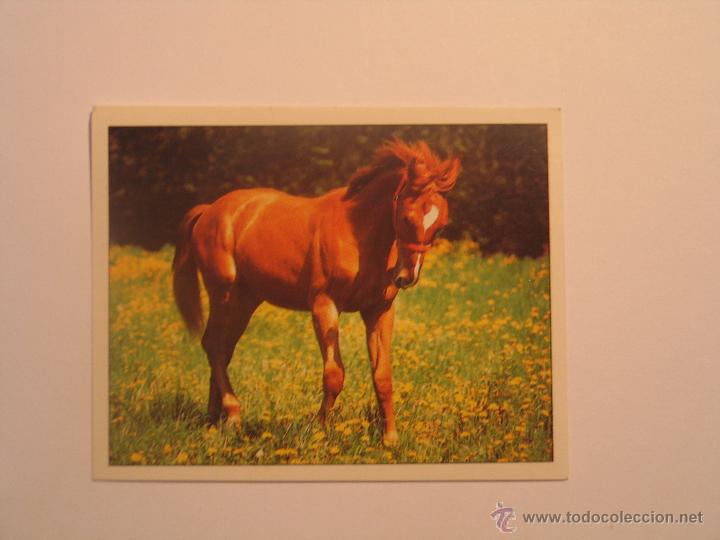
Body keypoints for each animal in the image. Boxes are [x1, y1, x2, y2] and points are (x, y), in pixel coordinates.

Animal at [172, 139, 460, 447]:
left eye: (440, 225)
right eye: (406, 217)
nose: (406, 276)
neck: (358, 235)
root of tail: (209, 211)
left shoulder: (378, 311)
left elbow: (382, 375)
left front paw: (390, 438)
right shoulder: (325, 306)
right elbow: (334, 375)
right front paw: (319, 431)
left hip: (244, 302)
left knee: (221, 349)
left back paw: (214, 419)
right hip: (225, 296)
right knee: (214, 346)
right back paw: (233, 415)